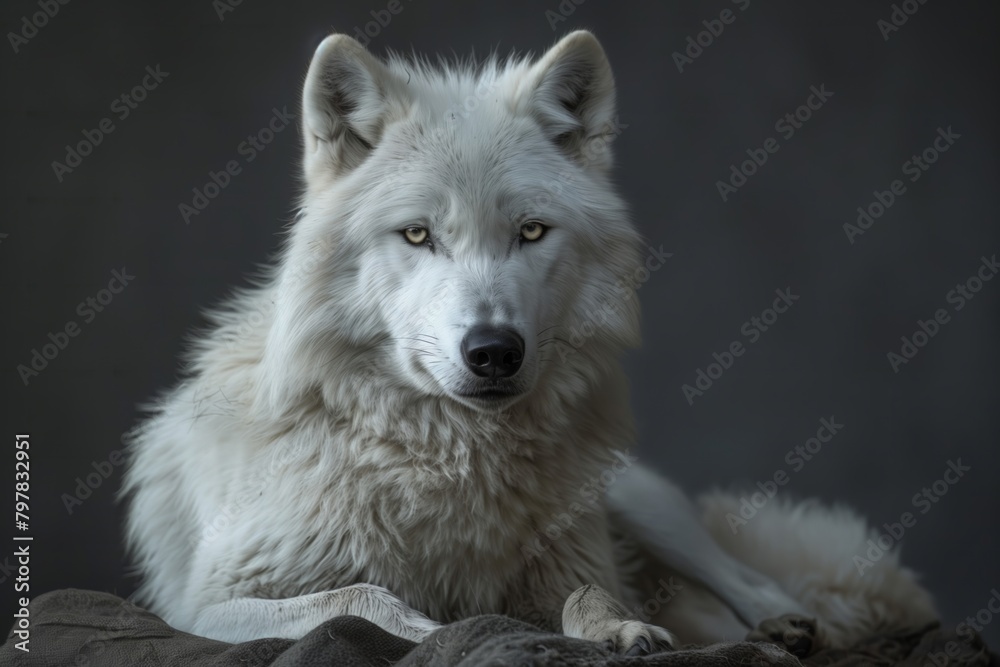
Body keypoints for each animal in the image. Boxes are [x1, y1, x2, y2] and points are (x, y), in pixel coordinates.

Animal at [121, 30, 937, 656]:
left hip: (633, 494)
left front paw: (618, 628)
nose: (493, 351)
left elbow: (588, 592)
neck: (446, 460)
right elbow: (363, 599)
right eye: (417, 234)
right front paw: (439, 626)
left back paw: (791, 625)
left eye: (532, 231)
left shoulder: (572, 560)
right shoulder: (201, 605)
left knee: (754, 584)